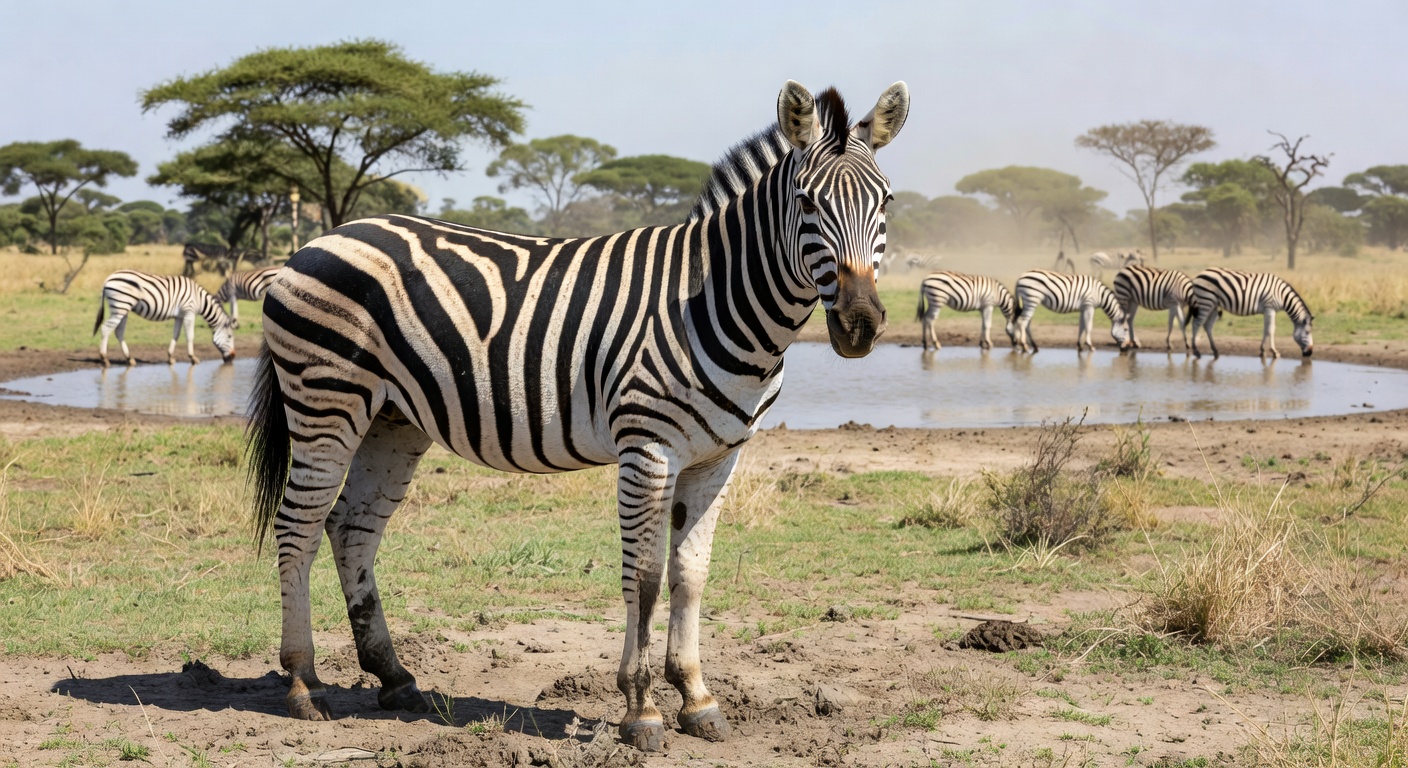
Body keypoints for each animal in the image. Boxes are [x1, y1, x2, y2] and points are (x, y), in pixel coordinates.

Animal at [92, 270, 235, 367]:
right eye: (229, 337)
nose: (233, 357)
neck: (199, 299)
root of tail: (108, 279)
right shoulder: (188, 312)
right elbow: (190, 336)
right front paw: (193, 358)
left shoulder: (179, 315)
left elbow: (176, 335)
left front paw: (171, 357)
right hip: (120, 307)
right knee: (105, 328)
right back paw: (105, 359)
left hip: (122, 309)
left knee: (119, 332)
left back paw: (130, 359)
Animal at [245, 80, 910, 750]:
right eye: (806, 202)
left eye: (886, 201)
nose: (859, 324)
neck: (717, 300)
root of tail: (320, 240)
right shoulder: (648, 448)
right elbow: (644, 578)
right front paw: (641, 709)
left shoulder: (719, 457)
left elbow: (691, 573)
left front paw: (697, 699)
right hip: (326, 402)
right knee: (298, 528)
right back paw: (305, 685)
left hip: (392, 422)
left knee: (352, 527)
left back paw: (395, 677)